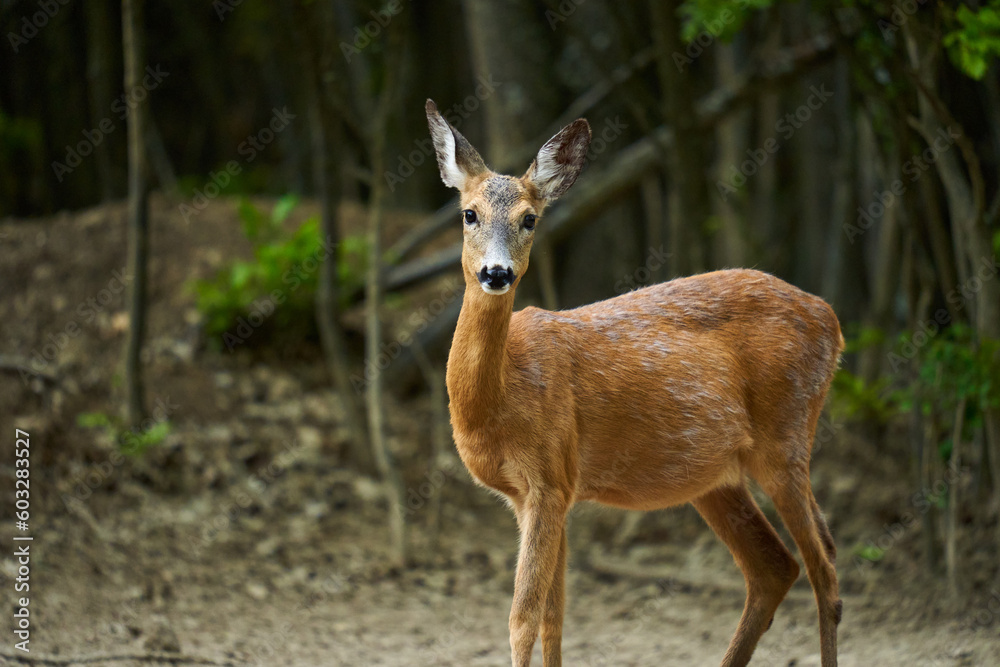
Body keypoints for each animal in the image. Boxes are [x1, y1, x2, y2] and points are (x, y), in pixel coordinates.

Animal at [426, 99, 840, 667]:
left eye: (529, 219)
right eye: (469, 214)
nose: (496, 273)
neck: (505, 393)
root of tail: (832, 320)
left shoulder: (549, 478)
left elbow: (522, 619)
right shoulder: (542, 491)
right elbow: (554, 618)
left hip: (787, 434)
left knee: (825, 568)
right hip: (717, 475)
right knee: (776, 566)